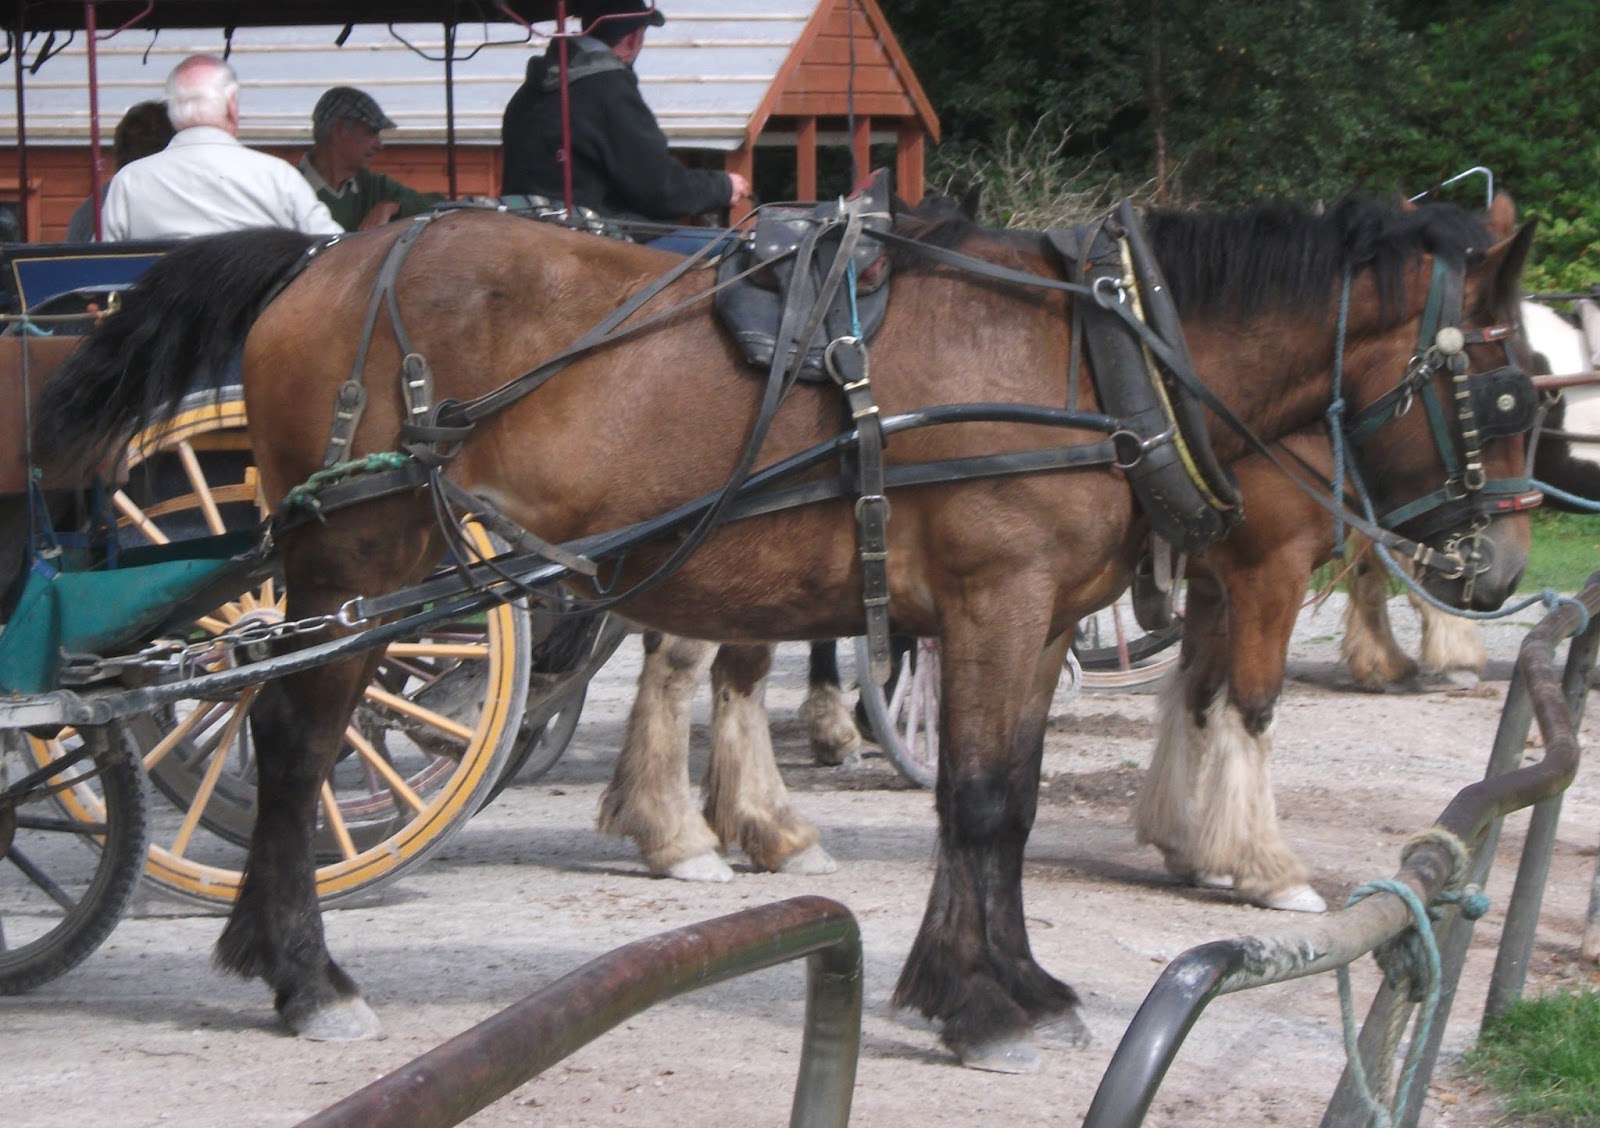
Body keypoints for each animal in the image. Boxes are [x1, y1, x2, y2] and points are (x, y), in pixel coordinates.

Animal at [34, 193, 1536, 1070]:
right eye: (1518, 384)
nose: (1500, 567)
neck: (1104, 355)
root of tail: (325, 255)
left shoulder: (1033, 621)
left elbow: (997, 796)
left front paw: (987, 981)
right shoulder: (1000, 603)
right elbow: (987, 804)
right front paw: (987, 1004)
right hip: (360, 563)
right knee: (292, 744)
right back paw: (301, 975)